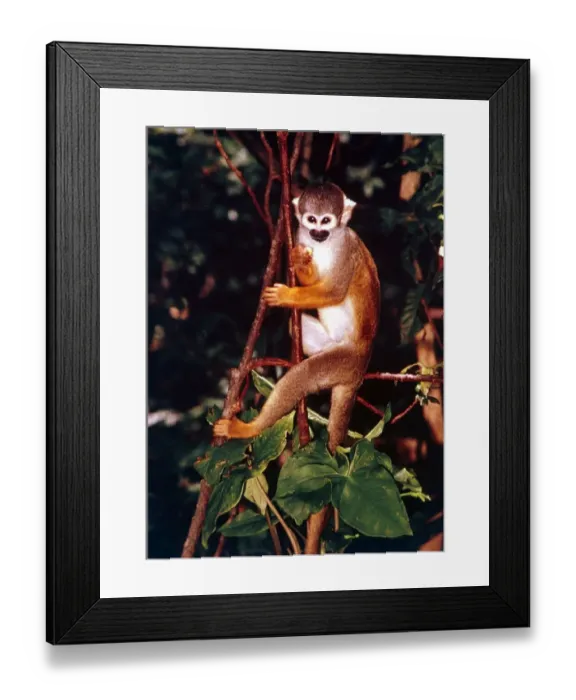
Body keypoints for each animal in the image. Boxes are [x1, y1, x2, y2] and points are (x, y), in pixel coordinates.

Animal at [213, 183, 380, 454]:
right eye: (311, 219)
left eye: (326, 220)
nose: (317, 232)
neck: (326, 243)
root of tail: (360, 369)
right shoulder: (301, 236)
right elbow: (313, 281)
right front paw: (301, 262)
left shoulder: (346, 250)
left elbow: (333, 291)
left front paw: (287, 296)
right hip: (331, 347)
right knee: (295, 328)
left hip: (345, 360)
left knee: (305, 375)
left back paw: (248, 429)